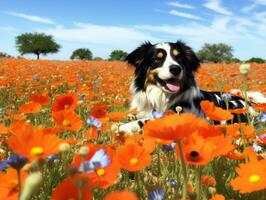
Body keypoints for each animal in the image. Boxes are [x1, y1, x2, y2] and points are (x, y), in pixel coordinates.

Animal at [119, 40, 266, 134]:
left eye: (179, 58)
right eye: (157, 58)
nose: (176, 68)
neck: (160, 97)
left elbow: (147, 121)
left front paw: (123, 128)